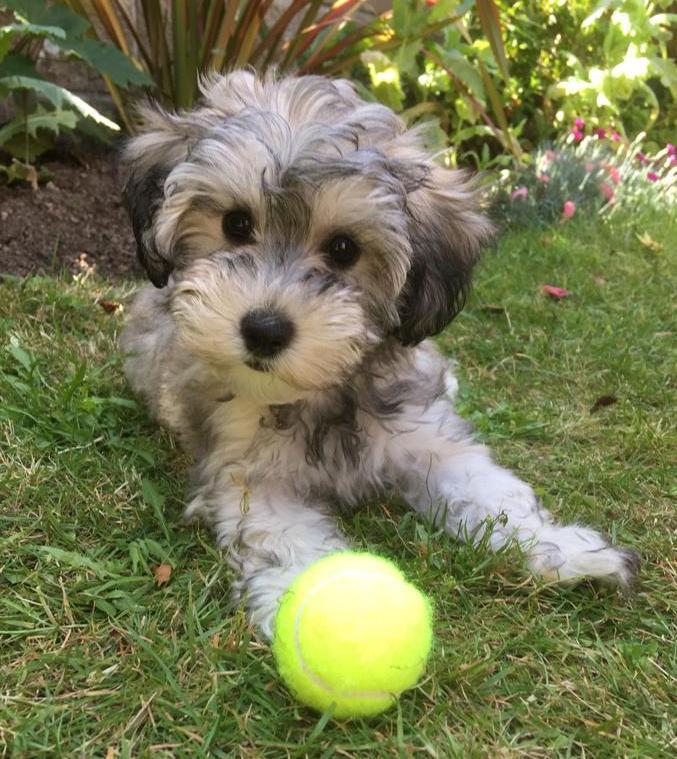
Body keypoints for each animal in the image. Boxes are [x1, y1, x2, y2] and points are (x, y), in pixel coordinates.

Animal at [123, 71, 640, 636]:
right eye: (236, 224)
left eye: (343, 249)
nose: (263, 329)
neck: (323, 393)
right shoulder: (251, 480)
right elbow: (289, 543)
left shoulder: (431, 440)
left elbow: (491, 493)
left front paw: (564, 550)